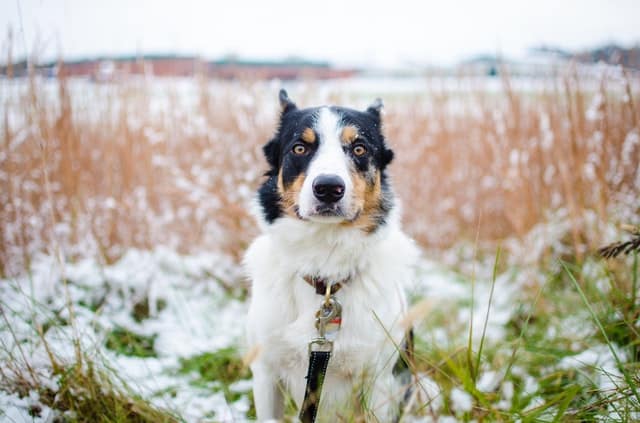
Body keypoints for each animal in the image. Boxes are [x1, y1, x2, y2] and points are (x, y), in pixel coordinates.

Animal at [245, 91, 420, 422]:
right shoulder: (265, 373)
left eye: (359, 148)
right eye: (300, 148)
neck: (325, 272)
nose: (328, 188)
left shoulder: (380, 381)